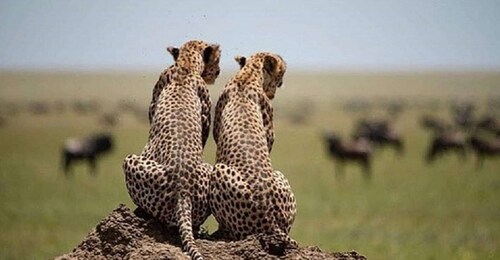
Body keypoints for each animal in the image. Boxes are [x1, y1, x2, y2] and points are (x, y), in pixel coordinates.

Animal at [122, 39, 220, 258]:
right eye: (217, 60)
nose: (218, 72)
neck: (186, 65)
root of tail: (183, 191)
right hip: (208, 172)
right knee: (193, 223)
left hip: (130, 160)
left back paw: (140, 212)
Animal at [208, 52, 296, 248]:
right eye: (282, 71)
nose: (281, 82)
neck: (249, 74)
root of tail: (270, 217)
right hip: (278, 177)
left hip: (220, 170)